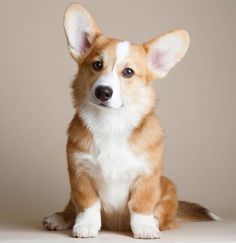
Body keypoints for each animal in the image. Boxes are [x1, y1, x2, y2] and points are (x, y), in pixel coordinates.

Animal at [42, 3, 219, 239]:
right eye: (97, 65)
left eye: (128, 72)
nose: (103, 92)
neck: (111, 123)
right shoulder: (79, 173)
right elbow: (88, 204)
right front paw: (86, 226)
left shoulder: (147, 175)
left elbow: (141, 205)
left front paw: (145, 228)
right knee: (71, 206)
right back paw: (59, 218)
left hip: (169, 186)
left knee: (164, 215)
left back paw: (155, 221)